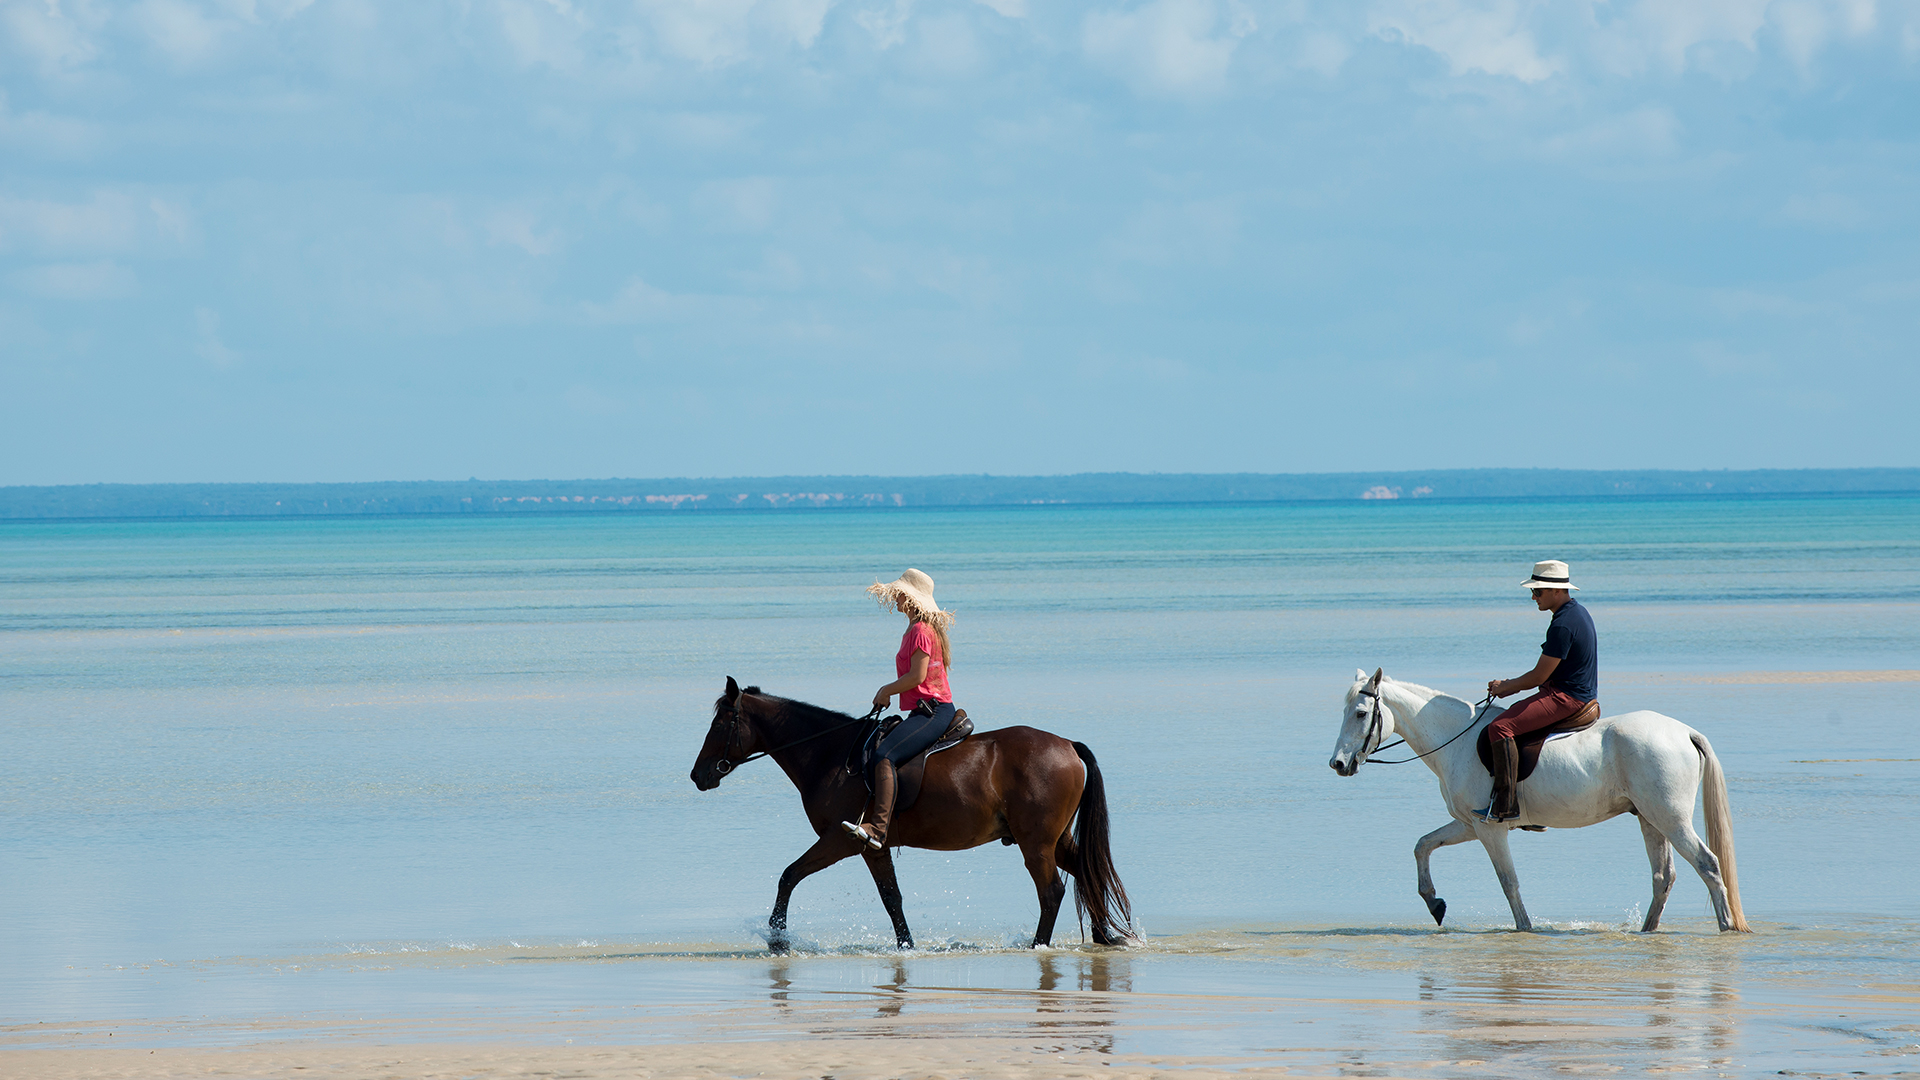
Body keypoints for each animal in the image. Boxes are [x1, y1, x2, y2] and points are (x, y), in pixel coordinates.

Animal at [698, 676, 1128, 945]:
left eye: (720, 724)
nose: (697, 775)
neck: (830, 755)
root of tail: (1067, 745)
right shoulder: (872, 847)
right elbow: (892, 898)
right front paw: (906, 946)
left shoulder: (840, 839)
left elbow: (789, 876)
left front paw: (777, 939)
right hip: (1054, 839)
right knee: (1088, 872)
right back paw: (1105, 937)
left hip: (1035, 843)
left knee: (1052, 891)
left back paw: (1039, 945)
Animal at [1328, 664, 1751, 926]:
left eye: (1361, 714)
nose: (1338, 764)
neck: (1457, 740)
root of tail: (1683, 731)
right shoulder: (1470, 824)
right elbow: (1422, 845)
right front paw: (1435, 903)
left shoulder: (1490, 829)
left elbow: (1508, 882)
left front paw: (1525, 928)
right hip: (1650, 818)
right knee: (1663, 876)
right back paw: (1647, 931)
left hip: (1670, 818)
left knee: (1707, 865)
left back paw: (1726, 927)